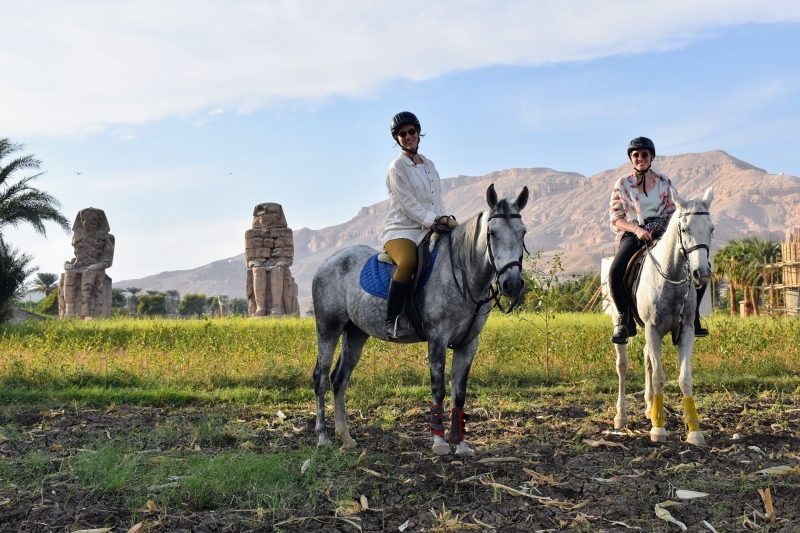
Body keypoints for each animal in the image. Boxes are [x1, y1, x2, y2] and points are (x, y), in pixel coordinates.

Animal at [314, 185, 532, 456]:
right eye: (492, 233)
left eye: (523, 232)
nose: (512, 284)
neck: (462, 273)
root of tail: (326, 263)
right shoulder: (437, 339)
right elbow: (438, 388)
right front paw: (439, 443)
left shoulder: (468, 343)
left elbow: (459, 392)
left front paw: (460, 444)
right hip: (328, 328)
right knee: (322, 377)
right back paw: (322, 436)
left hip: (355, 333)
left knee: (339, 379)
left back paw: (345, 436)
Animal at [612, 187, 712, 444]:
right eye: (684, 229)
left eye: (711, 228)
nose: (702, 273)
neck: (671, 275)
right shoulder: (653, 329)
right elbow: (659, 376)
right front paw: (658, 428)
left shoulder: (686, 331)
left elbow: (684, 378)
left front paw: (694, 430)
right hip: (621, 325)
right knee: (622, 366)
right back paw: (621, 416)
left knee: (647, 356)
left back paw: (649, 408)